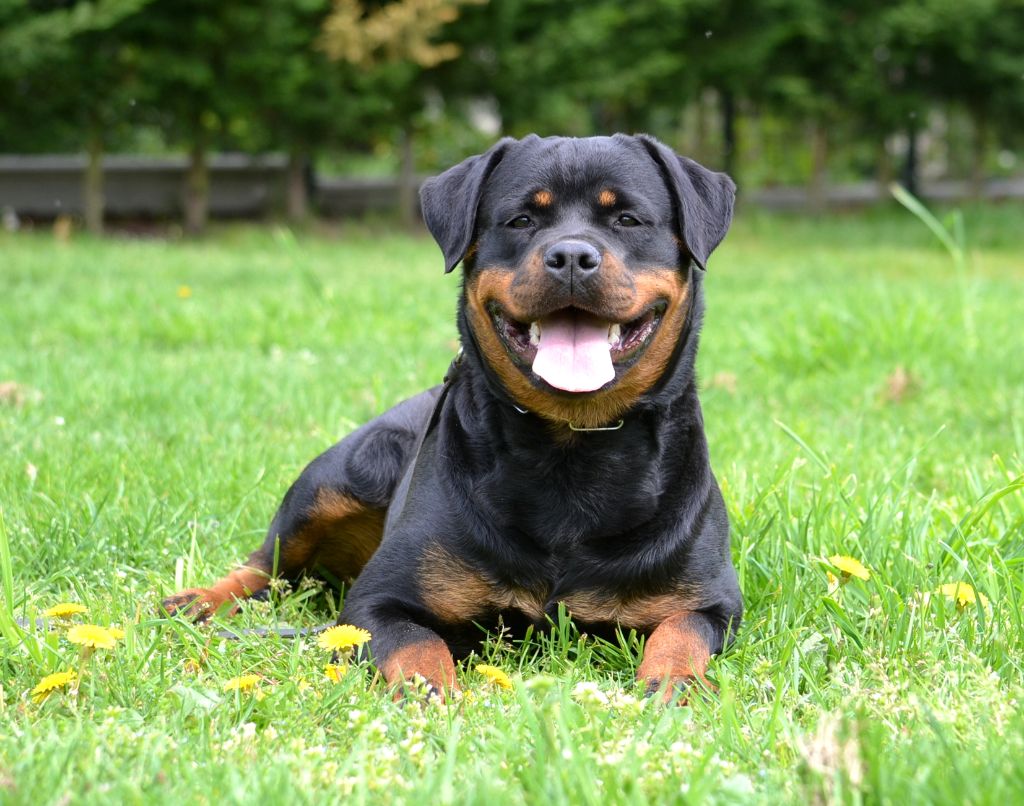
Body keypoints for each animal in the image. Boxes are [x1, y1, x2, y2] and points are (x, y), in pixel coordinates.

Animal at [159, 132, 741, 700]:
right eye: (521, 220)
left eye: (627, 219)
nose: (572, 255)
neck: (570, 442)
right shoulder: (376, 602)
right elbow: (416, 641)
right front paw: (428, 689)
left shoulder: (714, 602)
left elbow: (681, 631)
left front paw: (675, 683)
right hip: (337, 478)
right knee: (267, 562)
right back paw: (200, 600)